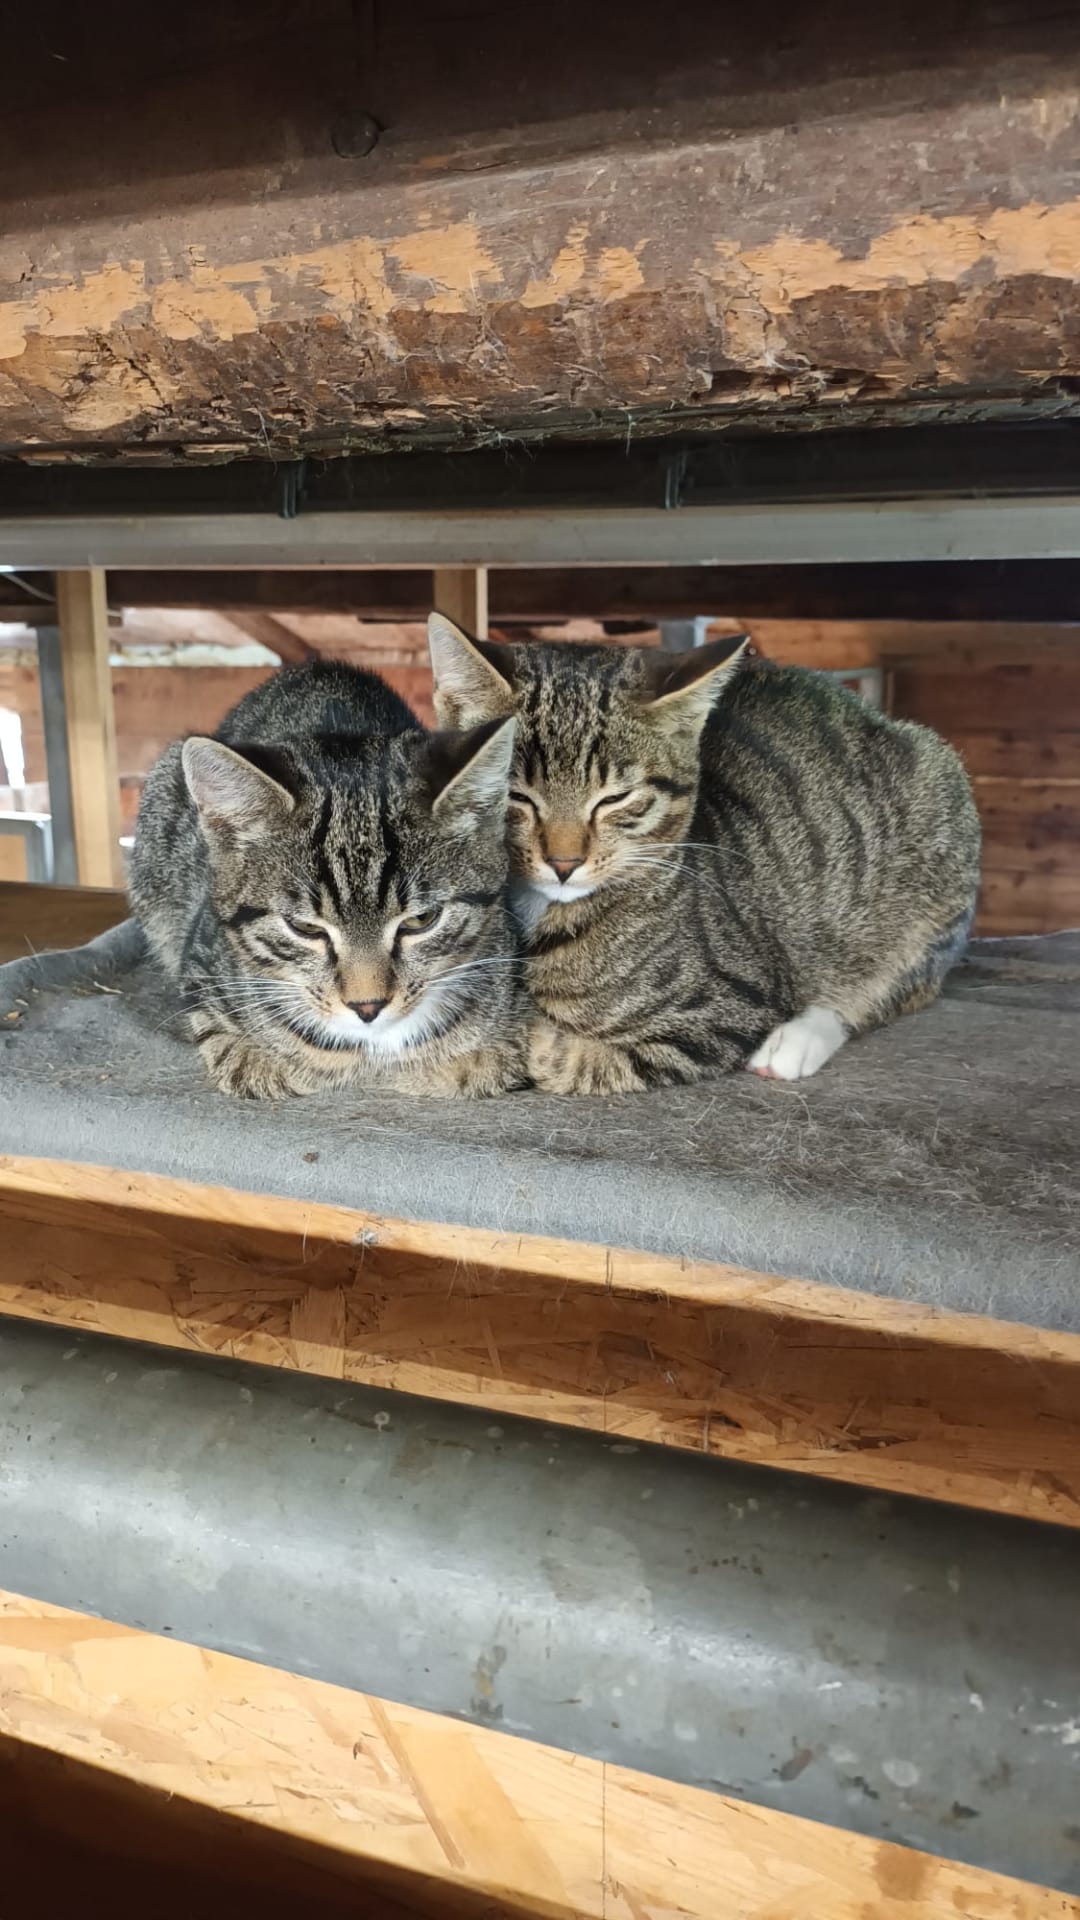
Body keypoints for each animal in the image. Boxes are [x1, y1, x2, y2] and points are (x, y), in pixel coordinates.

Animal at [428, 615, 981, 1096]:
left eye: (615, 798)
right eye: (515, 795)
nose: (564, 864)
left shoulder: (726, 1010)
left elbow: (562, 1057)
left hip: (936, 848)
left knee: (888, 987)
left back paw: (798, 1039)